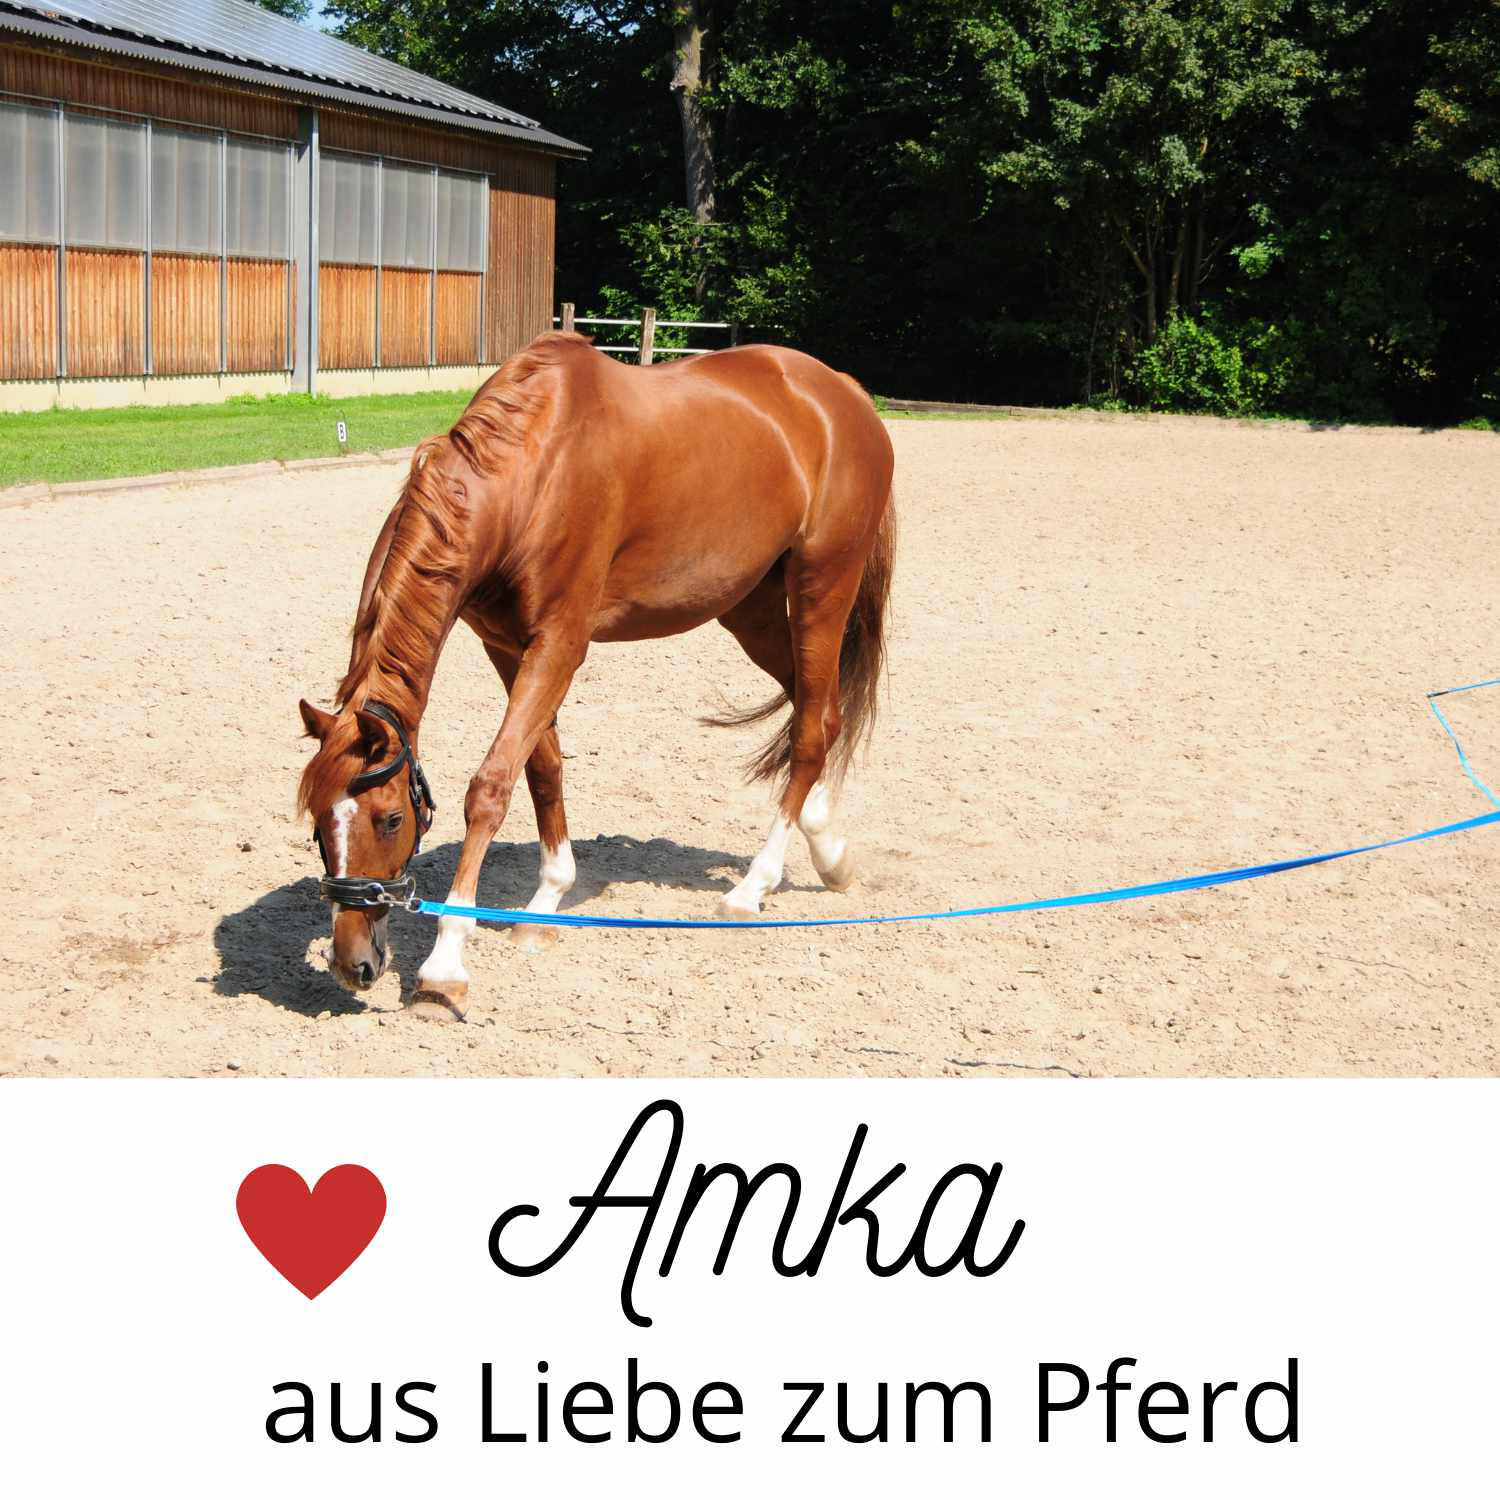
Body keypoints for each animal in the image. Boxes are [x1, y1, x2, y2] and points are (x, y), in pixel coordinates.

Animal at [297, 331, 895, 1020]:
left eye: (392, 818)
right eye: (318, 821)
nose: (354, 964)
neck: (531, 472)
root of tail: (843, 395)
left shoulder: (560, 643)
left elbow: (492, 786)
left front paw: (445, 964)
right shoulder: (507, 645)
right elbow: (542, 768)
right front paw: (546, 901)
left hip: (824, 587)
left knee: (810, 731)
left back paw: (752, 886)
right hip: (752, 608)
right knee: (816, 712)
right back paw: (828, 851)